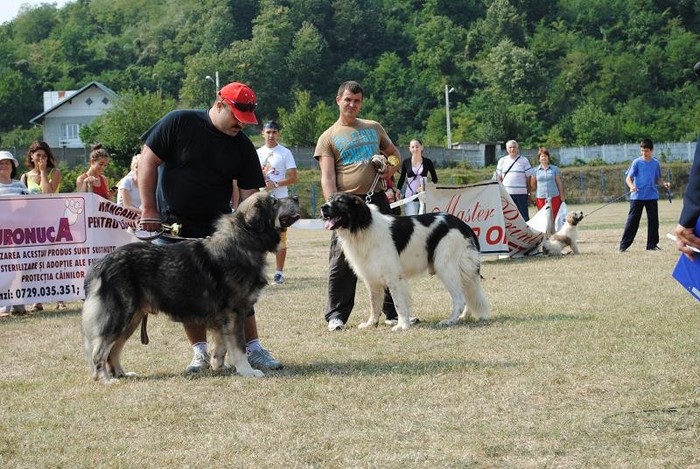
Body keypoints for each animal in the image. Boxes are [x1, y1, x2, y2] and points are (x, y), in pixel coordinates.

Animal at [82, 192, 300, 382]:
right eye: (274, 202)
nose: (297, 197)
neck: (244, 241)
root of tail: (99, 266)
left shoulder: (222, 317)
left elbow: (221, 346)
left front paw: (220, 366)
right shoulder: (235, 312)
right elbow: (238, 346)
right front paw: (247, 371)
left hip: (132, 319)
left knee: (114, 350)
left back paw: (122, 374)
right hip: (119, 315)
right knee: (99, 350)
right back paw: (106, 379)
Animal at [322, 193, 490, 330]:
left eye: (340, 201)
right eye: (329, 199)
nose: (323, 207)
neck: (362, 227)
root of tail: (462, 224)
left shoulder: (394, 277)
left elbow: (399, 304)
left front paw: (402, 325)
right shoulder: (372, 279)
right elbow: (374, 304)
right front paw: (371, 324)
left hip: (445, 267)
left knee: (459, 298)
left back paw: (450, 321)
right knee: (467, 293)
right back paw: (463, 316)